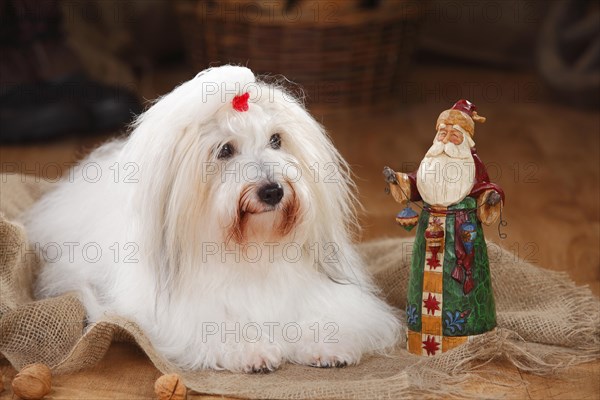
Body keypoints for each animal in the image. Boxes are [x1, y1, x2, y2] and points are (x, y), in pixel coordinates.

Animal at [27, 65, 404, 372]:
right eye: (225, 150)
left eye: (276, 140)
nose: (272, 191)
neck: (254, 248)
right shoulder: (184, 316)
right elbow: (219, 327)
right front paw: (253, 351)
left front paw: (327, 345)